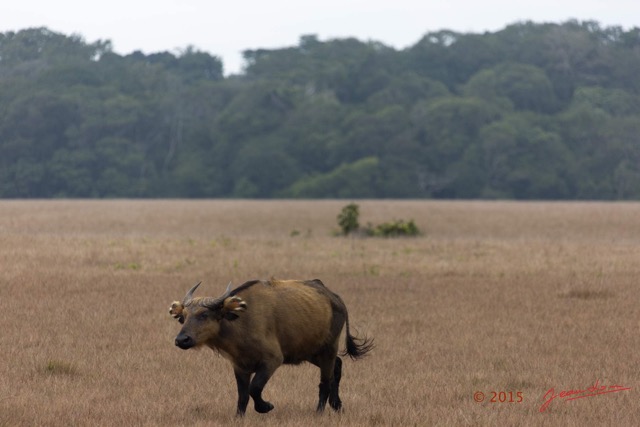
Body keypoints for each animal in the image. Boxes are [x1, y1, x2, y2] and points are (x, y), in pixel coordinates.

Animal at [170, 280, 372, 416]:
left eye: (203, 314)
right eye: (184, 316)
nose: (181, 340)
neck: (240, 322)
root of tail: (335, 298)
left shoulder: (272, 361)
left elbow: (255, 388)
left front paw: (265, 407)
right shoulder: (240, 366)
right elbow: (242, 395)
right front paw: (239, 417)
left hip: (328, 349)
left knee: (325, 382)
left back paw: (319, 412)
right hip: (312, 352)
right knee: (337, 366)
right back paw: (337, 405)